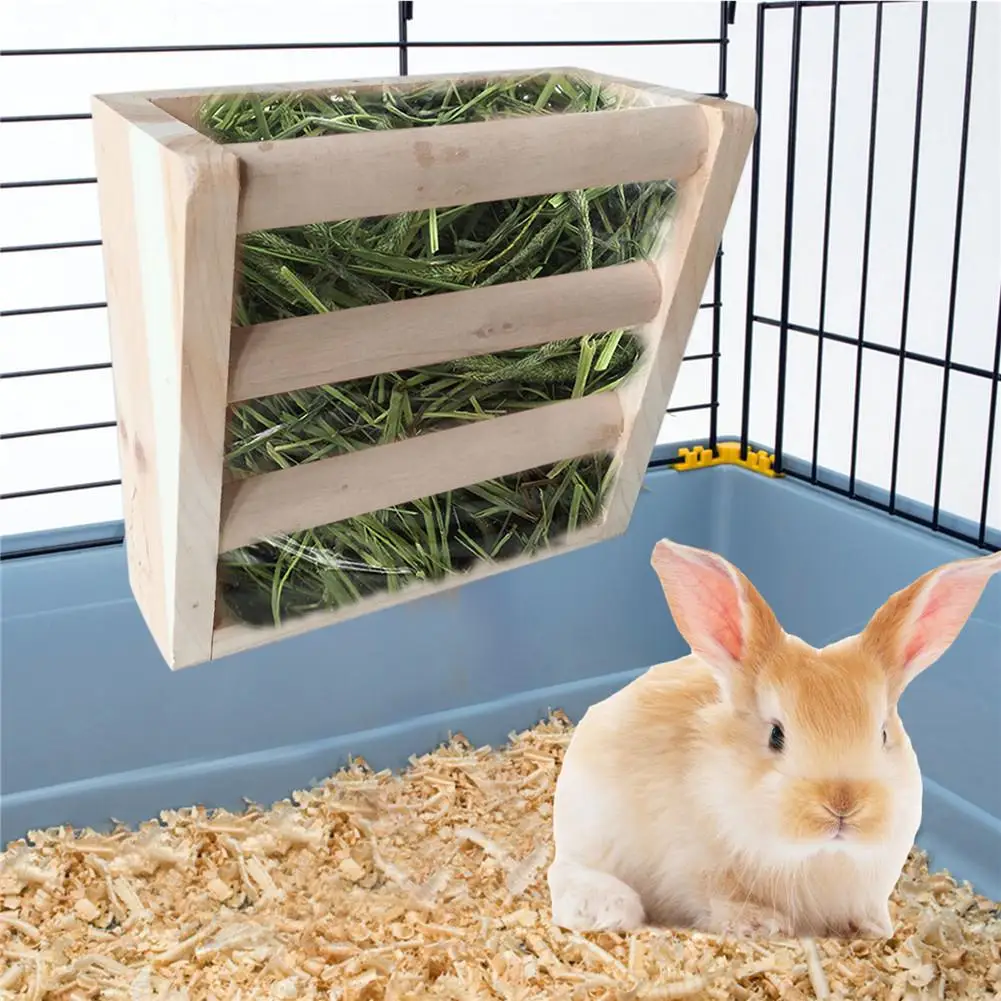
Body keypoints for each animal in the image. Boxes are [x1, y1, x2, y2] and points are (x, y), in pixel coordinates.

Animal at [548, 537, 1001, 939]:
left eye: (884, 733)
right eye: (776, 735)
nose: (842, 806)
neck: (819, 855)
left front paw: (875, 929)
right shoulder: (695, 871)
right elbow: (716, 900)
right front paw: (761, 925)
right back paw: (609, 908)